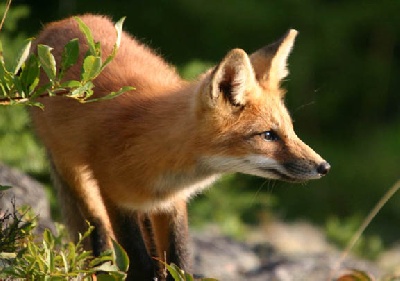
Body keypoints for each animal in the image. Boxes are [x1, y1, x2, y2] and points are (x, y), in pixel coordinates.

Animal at [30, 13, 332, 280]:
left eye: (290, 130)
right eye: (268, 135)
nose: (324, 167)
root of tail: (62, 22)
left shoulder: (172, 204)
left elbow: (179, 262)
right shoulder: (116, 198)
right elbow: (139, 266)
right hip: (74, 173)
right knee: (98, 237)